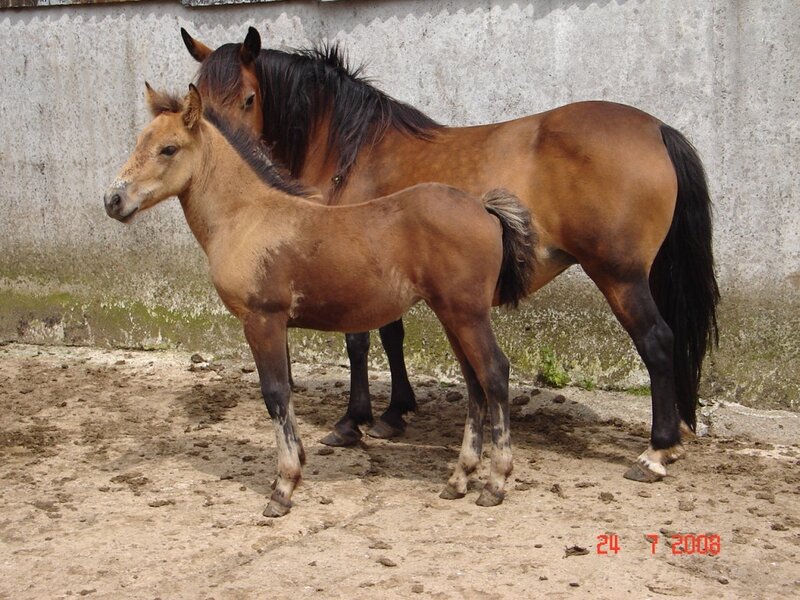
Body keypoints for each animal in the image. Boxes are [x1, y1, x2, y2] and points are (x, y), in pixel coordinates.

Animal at [104, 84, 536, 516]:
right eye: (140, 141)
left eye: (169, 149)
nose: (113, 200)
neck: (247, 217)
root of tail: (483, 207)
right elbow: (285, 392)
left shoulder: (262, 320)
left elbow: (275, 393)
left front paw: (284, 487)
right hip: (452, 315)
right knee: (474, 383)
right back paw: (459, 479)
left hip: (467, 314)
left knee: (494, 373)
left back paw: (495, 483)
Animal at [181, 28, 720, 482]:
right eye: (199, 96)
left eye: (249, 98)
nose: (220, 150)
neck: (354, 151)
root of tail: (656, 128)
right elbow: (391, 337)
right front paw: (394, 411)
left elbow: (360, 342)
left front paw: (354, 420)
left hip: (618, 275)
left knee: (657, 342)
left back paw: (657, 450)